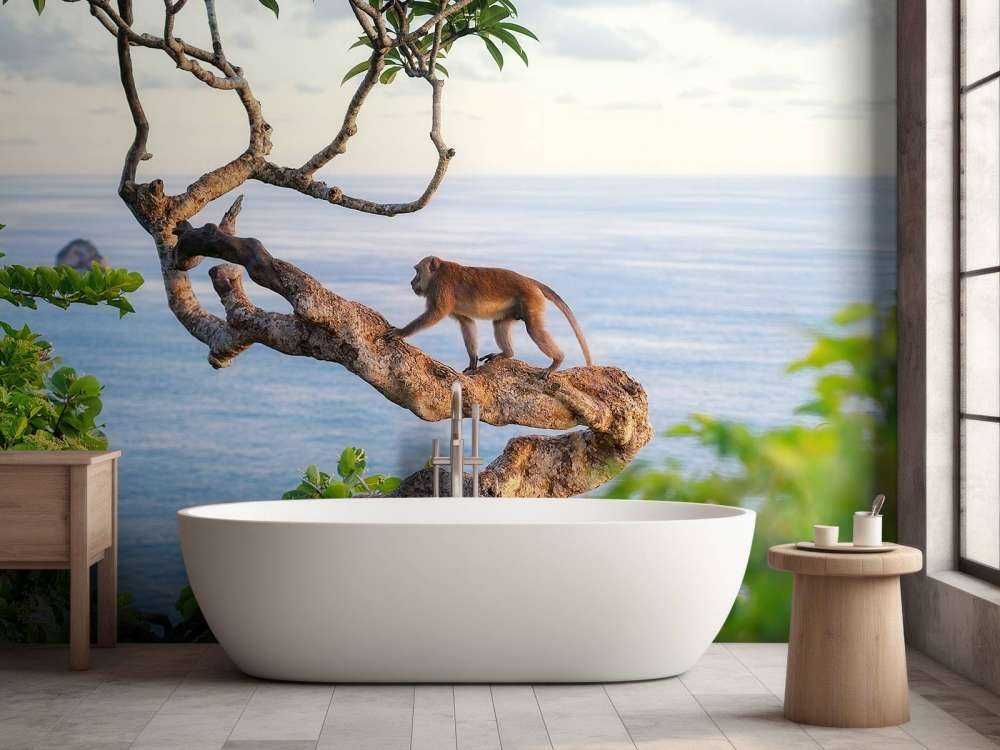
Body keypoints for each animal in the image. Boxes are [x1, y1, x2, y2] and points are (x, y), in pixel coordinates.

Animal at [385, 256, 593, 377]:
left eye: (417, 272)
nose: (411, 282)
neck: (439, 272)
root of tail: (529, 281)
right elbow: (467, 323)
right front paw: (472, 361)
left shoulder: (441, 288)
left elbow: (435, 314)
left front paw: (401, 332)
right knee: (500, 324)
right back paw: (507, 354)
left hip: (531, 300)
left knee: (534, 329)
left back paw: (557, 361)